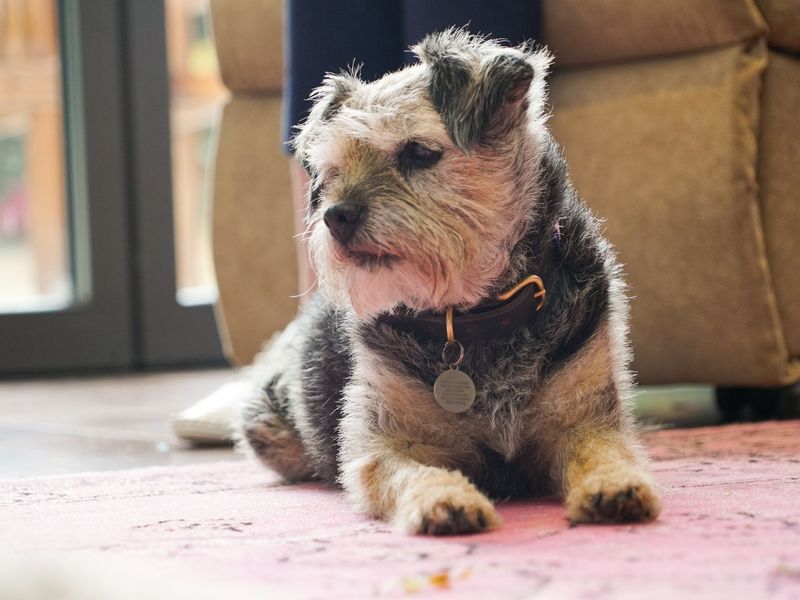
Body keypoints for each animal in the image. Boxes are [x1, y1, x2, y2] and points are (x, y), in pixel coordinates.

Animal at [234, 29, 660, 536]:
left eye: (419, 152)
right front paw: (444, 499)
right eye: (331, 171)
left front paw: (614, 485)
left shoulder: (585, 422)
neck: (475, 313)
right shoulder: (386, 444)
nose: (335, 217)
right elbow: (416, 472)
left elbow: (603, 453)